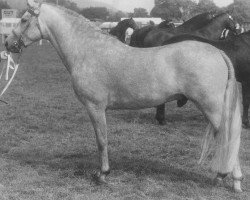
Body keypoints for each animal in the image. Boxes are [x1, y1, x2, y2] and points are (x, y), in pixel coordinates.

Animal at [4, 1, 243, 192]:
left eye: (24, 20)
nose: (7, 43)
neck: (88, 51)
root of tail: (218, 52)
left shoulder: (95, 107)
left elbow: (102, 140)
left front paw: (102, 174)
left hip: (212, 108)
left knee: (229, 138)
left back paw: (232, 180)